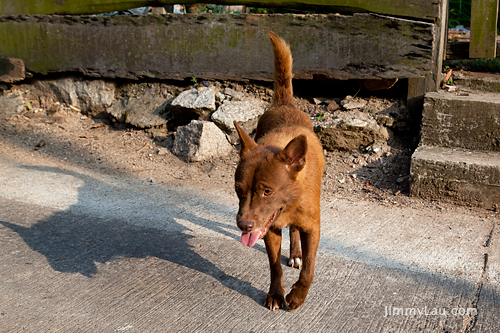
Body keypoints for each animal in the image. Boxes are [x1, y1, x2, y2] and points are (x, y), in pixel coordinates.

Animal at [233, 29, 326, 310]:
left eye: (267, 192)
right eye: (238, 190)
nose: (244, 226)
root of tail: (284, 103)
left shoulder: (313, 229)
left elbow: (309, 269)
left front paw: (297, 296)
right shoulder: (268, 229)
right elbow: (274, 266)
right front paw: (276, 294)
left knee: (296, 234)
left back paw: (295, 253)